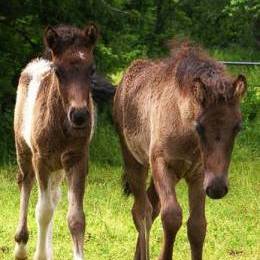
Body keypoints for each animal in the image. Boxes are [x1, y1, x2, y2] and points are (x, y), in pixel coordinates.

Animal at [14, 23, 99, 258]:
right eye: (58, 71)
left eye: (91, 70)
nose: (79, 115)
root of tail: (37, 63)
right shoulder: (41, 159)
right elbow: (43, 211)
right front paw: (39, 255)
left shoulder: (77, 159)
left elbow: (76, 218)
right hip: (24, 152)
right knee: (25, 183)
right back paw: (21, 246)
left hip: (58, 167)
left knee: (53, 197)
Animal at [114, 43, 248, 260]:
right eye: (200, 126)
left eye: (237, 127)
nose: (218, 188)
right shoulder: (162, 163)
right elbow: (171, 216)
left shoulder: (199, 174)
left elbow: (197, 225)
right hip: (135, 161)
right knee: (141, 211)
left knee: (151, 208)